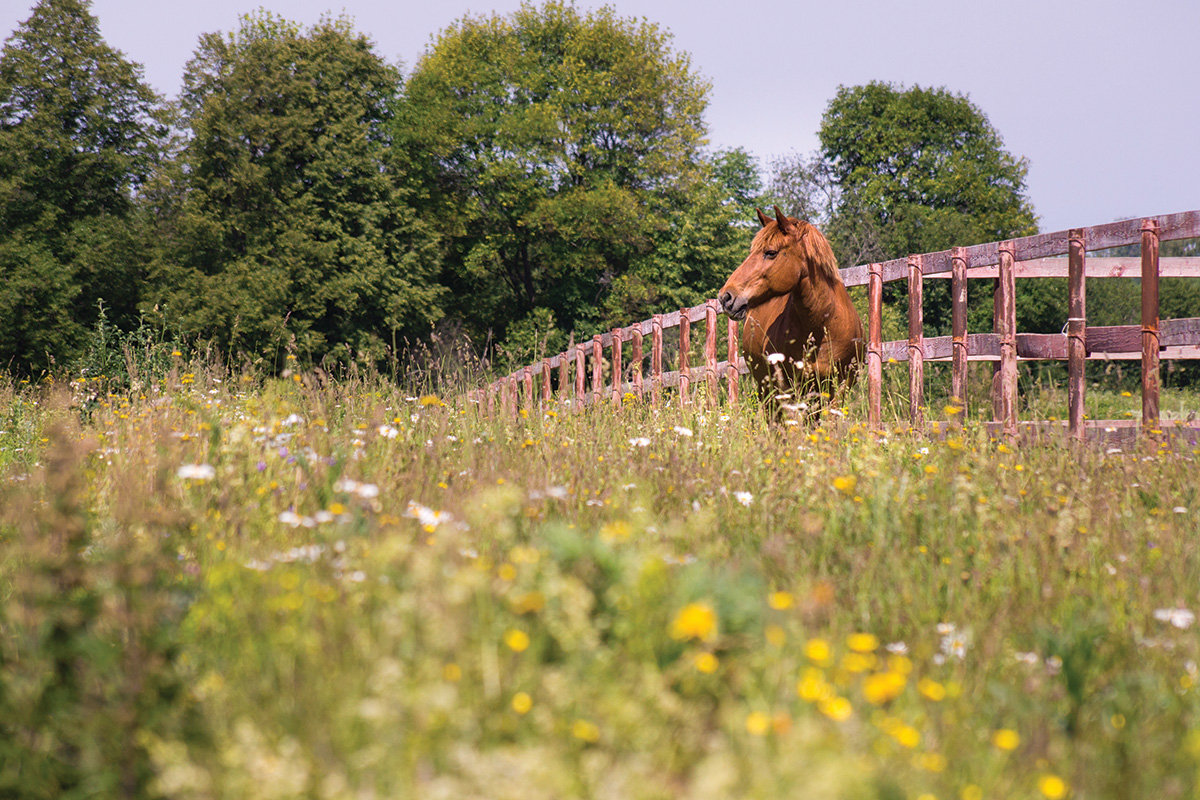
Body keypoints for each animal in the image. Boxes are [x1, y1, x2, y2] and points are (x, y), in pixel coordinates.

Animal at [720, 206, 864, 419]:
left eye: (771, 252)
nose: (725, 297)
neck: (823, 325)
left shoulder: (839, 387)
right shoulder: (789, 389)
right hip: (768, 391)